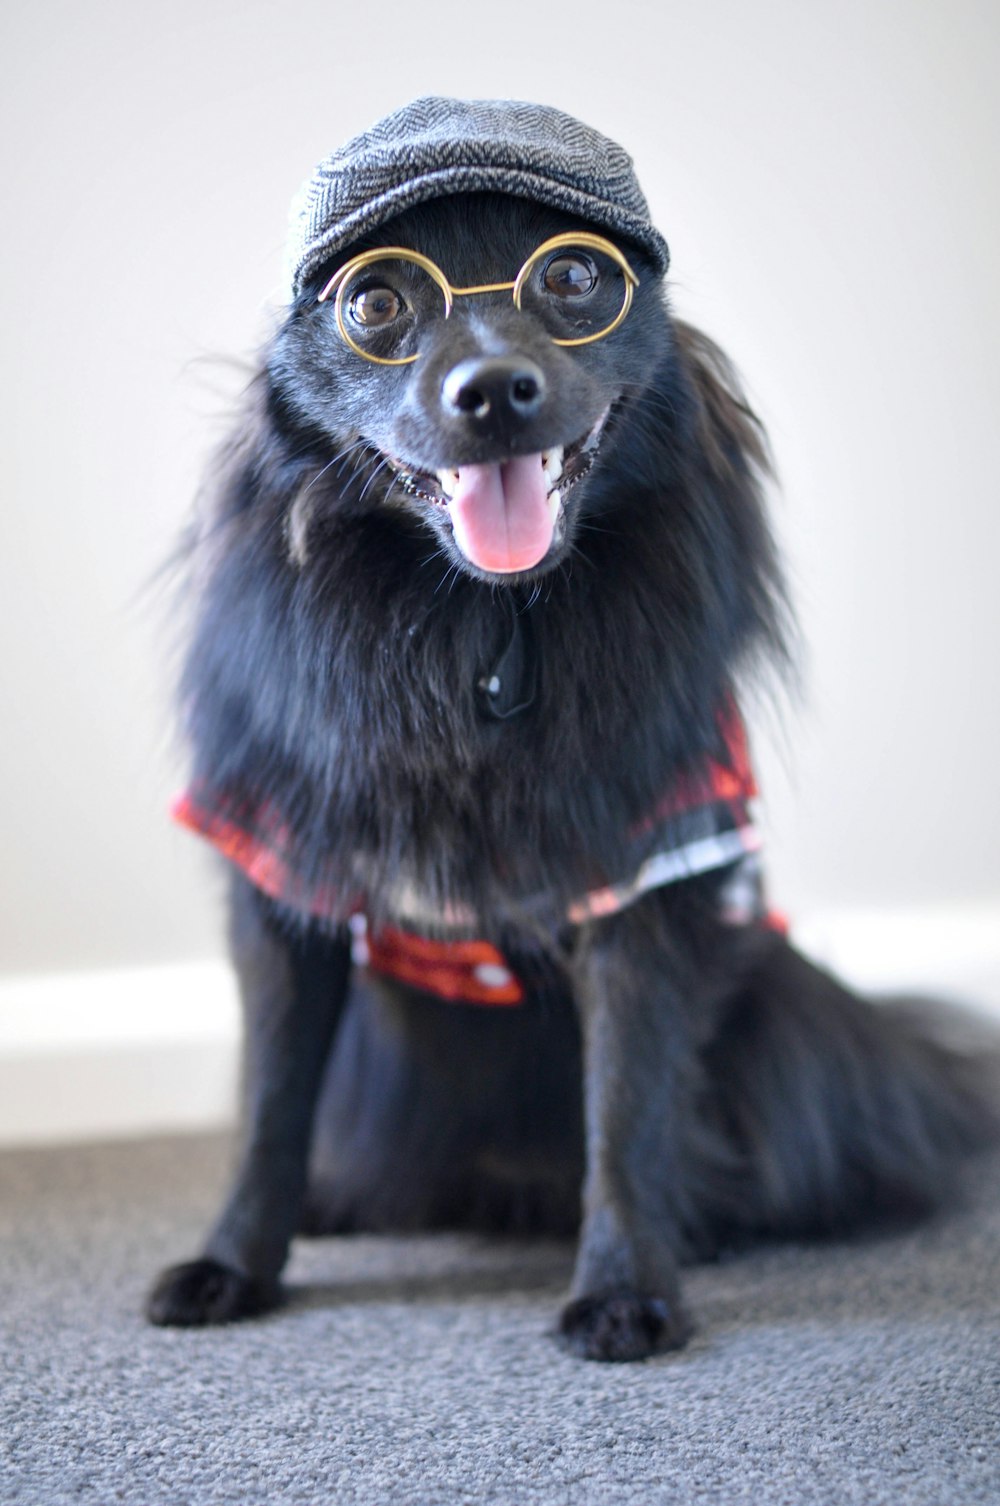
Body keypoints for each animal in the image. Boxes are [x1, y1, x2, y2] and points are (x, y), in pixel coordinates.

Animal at [150, 188, 1000, 1367]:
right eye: (373, 301)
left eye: (572, 277)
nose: (493, 388)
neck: (479, 624)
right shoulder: (286, 882)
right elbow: (269, 1104)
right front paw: (233, 1264)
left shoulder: (640, 888)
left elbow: (629, 1109)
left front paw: (626, 1288)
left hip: (780, 1022)